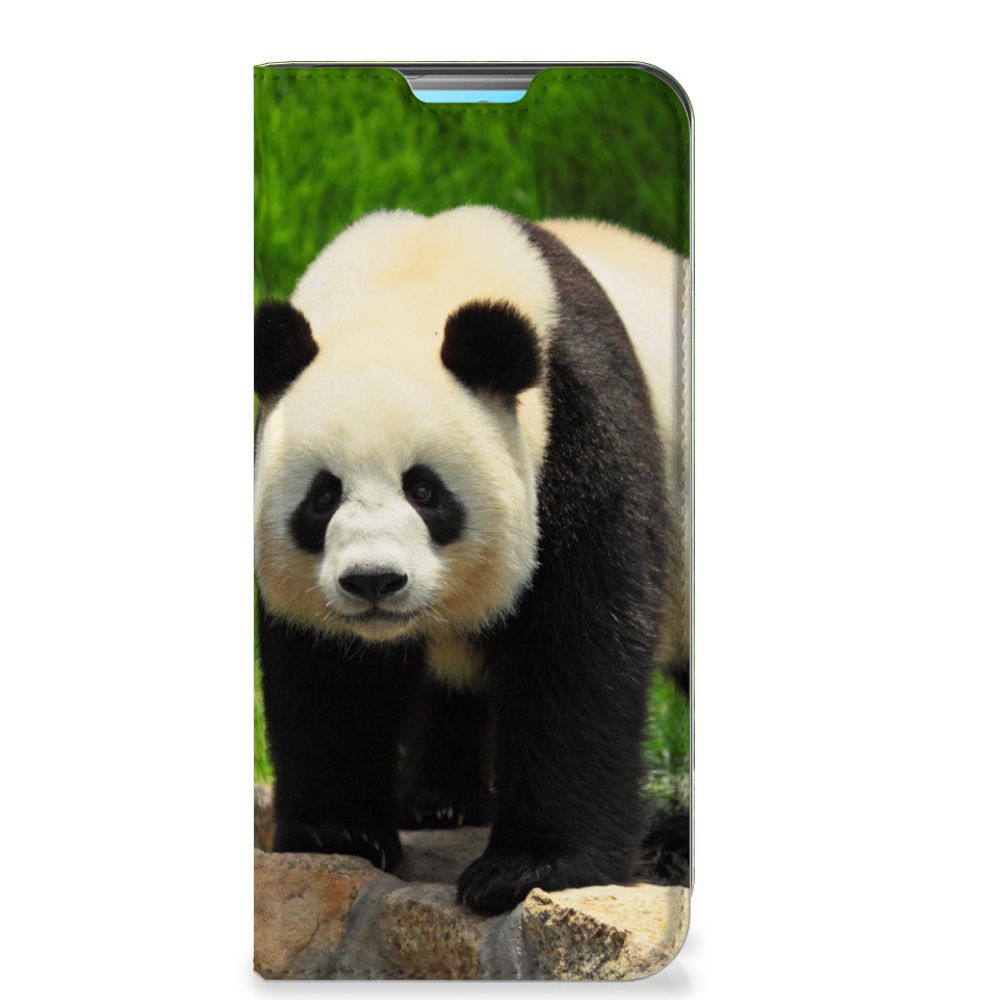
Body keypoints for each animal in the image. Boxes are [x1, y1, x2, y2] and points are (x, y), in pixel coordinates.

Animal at [254, 205, 689, 915]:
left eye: (425, 490)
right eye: (323, 495)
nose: (374, 581)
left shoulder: (580, 428)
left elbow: (577, 644)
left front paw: (529, 868)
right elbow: (328, 671)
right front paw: (337, 832)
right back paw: (439, 801)